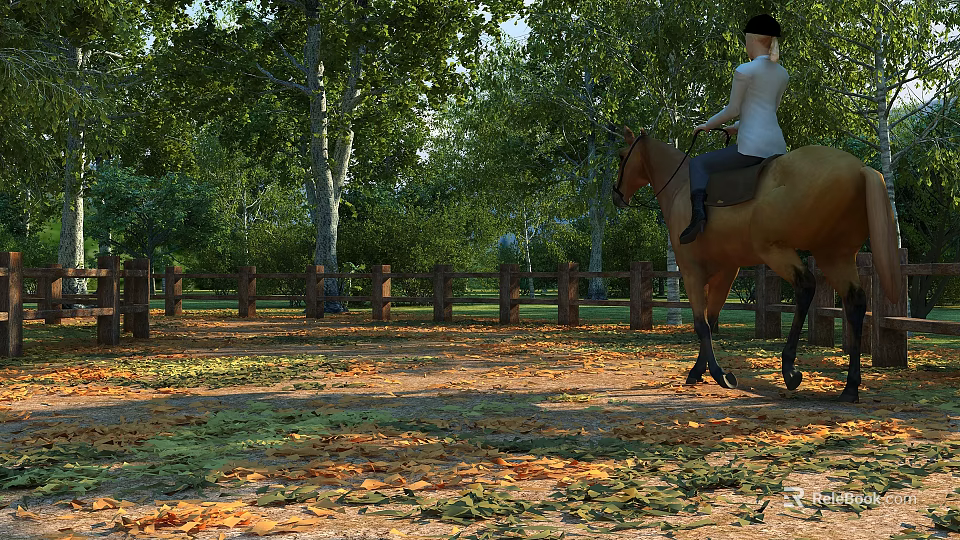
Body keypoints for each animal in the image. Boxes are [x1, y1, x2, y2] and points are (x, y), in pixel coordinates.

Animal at [613, 127, 901, 402]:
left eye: (621, 156)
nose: (617, 196)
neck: (682, 187)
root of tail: (859, 169)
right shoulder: (726, 272)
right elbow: (711, 320)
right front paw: (699, 371)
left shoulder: (691, 271)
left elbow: (701, 324)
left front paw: (719, 375)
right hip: (834, 256)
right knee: (855, 302)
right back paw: (850, 388)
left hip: (776, 250)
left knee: (806, 286)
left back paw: (790, 370)